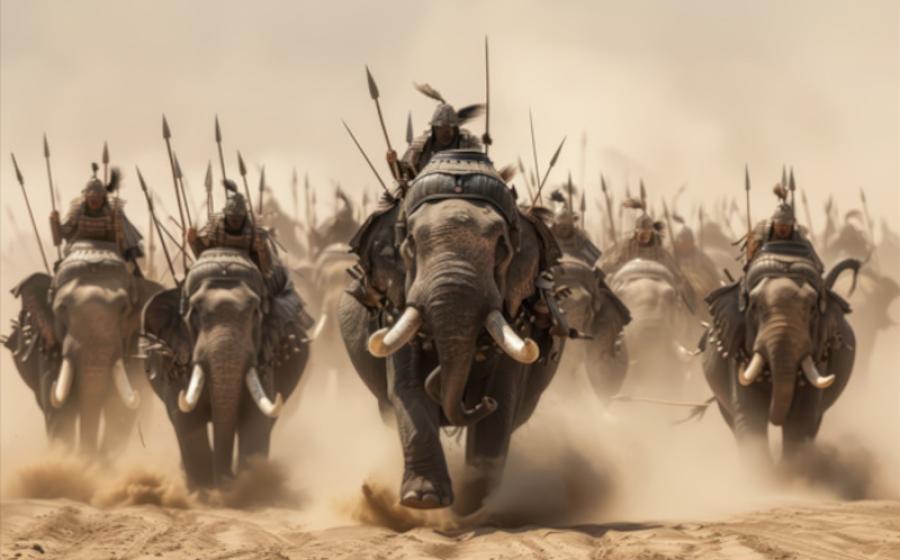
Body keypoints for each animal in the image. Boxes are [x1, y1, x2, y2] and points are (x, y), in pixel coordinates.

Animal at [142, 248, 310, 488]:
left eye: (255, 313)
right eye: (194, 312)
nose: (225, 482)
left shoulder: (263, 357)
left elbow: (255, 421)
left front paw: (243, 488)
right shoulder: (179, 357)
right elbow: (186, 420)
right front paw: (205, 491)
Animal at [340, 150, 570, 514]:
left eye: (502, 248)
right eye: (410, 246)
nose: (479, 402)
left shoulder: (518, 315)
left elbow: (502, 400)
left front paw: (477, 502)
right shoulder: (396, 305)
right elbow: (407, 389)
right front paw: (422, 502)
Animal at [701, 240, 858, 465]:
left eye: (812, 309)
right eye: (755, 307)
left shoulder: (818, 356)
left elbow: (800, 421)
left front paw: (788, 472)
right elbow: (750, 415)